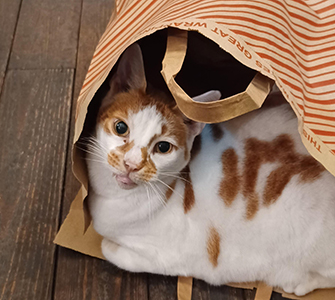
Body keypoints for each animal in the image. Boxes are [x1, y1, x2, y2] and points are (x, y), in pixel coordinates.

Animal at [84, 43, 335, 296]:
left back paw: (297, 282)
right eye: (120, 128)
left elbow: (108, 247)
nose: (132, 164)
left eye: (163, 147)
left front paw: (109, 242)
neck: (111, 197)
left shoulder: (177, 256)